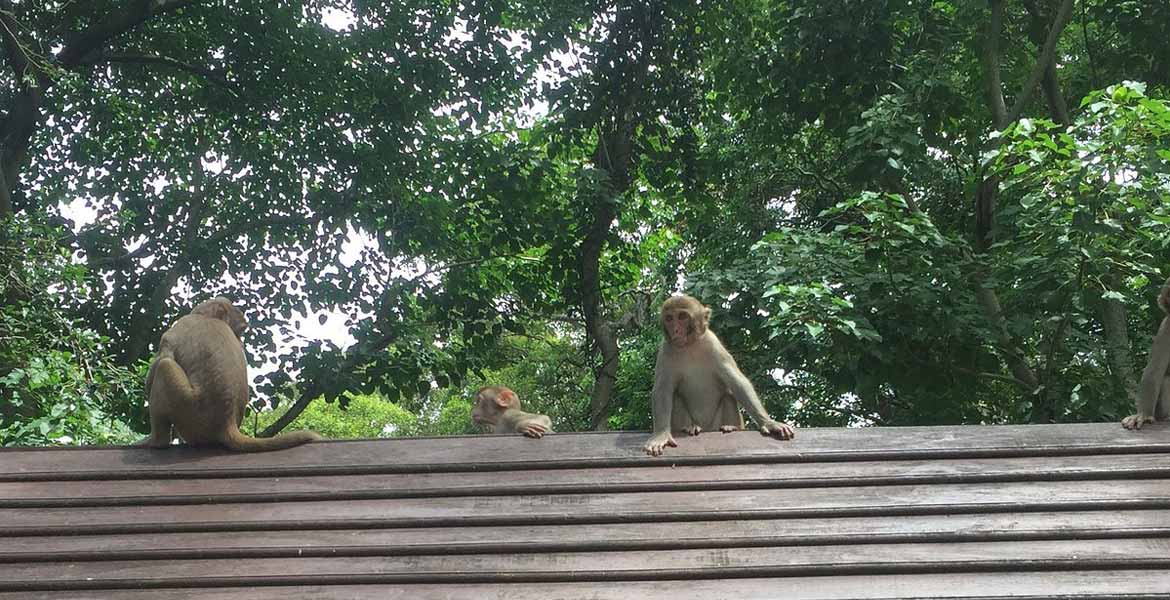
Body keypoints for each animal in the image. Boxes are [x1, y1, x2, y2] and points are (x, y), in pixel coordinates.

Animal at [139, 297, 322, 451]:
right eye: (239, 331)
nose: (241, 339)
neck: (207, 317)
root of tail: (227, 424)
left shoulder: (178, 327)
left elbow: (163, 359)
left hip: (188, 410)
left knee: (165, 365)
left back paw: (156, 441)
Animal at [641, 293, 795, 453]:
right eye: (669, 318)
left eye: (682, 316)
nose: (676, 330)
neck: (690, 346)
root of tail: (706, 428)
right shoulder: (666, 350)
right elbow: (662, 390)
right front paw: (661, 434)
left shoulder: (713, 344)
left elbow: (737, 382)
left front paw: (769, 423)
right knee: (676, 397)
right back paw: (690, 427)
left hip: (715, 424)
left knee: (728, 396)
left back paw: (730, 427)